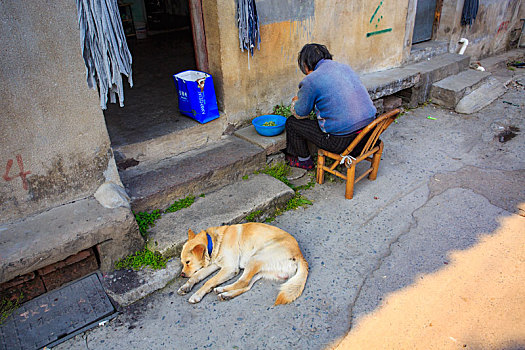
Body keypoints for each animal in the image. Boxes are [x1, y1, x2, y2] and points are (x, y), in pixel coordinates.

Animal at [177, 223, 308, 304]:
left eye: (188, 262)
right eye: (182, 262)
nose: (182, 275)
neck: (213, 243)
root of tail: (300, 256)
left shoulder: (229, 268)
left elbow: (209, 281)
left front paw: (196, 295)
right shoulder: (215, 265)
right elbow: (196, 275)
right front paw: (185, 286)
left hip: (255, 258)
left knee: (243, 282)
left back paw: (221, 290)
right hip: (261, 270)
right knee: (247, 285)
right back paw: (226, 294)